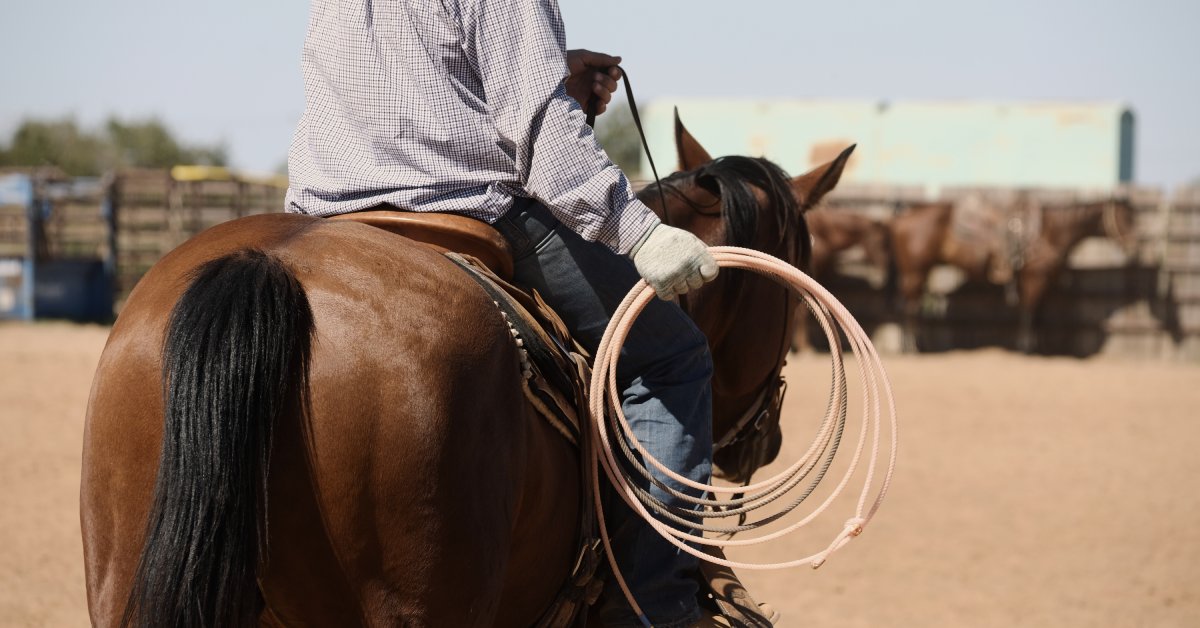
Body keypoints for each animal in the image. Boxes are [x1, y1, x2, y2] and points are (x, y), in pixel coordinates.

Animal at [892, 195, 1142, 353]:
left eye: (1134, 218)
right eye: (1124, 218)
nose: (1135, 245)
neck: (1050, 231)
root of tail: (902, 217)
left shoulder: (1043, 283)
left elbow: (1039, 316)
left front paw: (1039, 348)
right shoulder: (1034, 279)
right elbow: (1029, 313)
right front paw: (1026, 348)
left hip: (919, 273)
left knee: (912, 307)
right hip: (915, 273)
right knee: (910, 308)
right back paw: (912, 348)